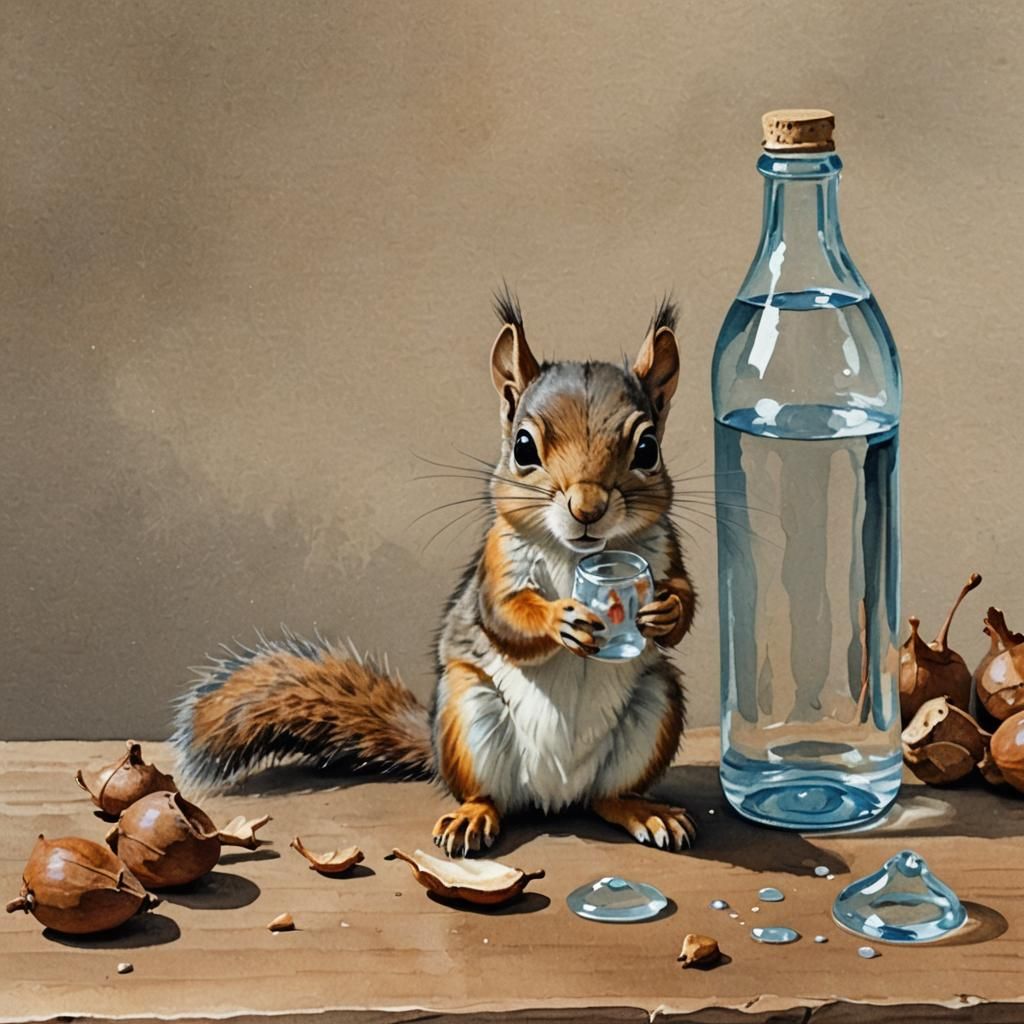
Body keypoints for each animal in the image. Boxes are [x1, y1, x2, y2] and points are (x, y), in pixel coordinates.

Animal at [171, 291, 697, 856]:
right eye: (523, 447)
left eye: (648, 448)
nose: (588, 508)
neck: (580, 555)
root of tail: (557, 797)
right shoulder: (496, 561)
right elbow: (504, 616)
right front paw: (561, 618)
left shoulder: (664, 547)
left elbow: (685, 593)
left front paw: (666, 610)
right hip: (467, 714)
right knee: (489, 795)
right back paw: (473, 816)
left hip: (657, 705)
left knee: (607, 796)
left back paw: (644, 811)